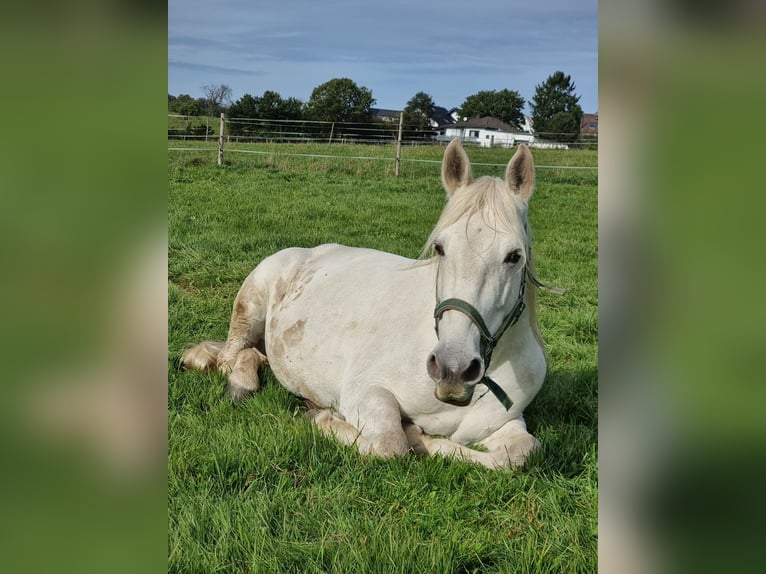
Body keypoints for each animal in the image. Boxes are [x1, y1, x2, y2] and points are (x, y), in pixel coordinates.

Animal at [182, 139, 550, 469]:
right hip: (251, 306)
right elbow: (390, 445)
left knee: (256, 355)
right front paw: (325, 419)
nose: (453, 369)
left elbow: (522, 453)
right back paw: (239, 385)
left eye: (514, 256)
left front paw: (426, 439)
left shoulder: (504, 422)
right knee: (232, 357)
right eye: (440, 248)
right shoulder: (366, 392)